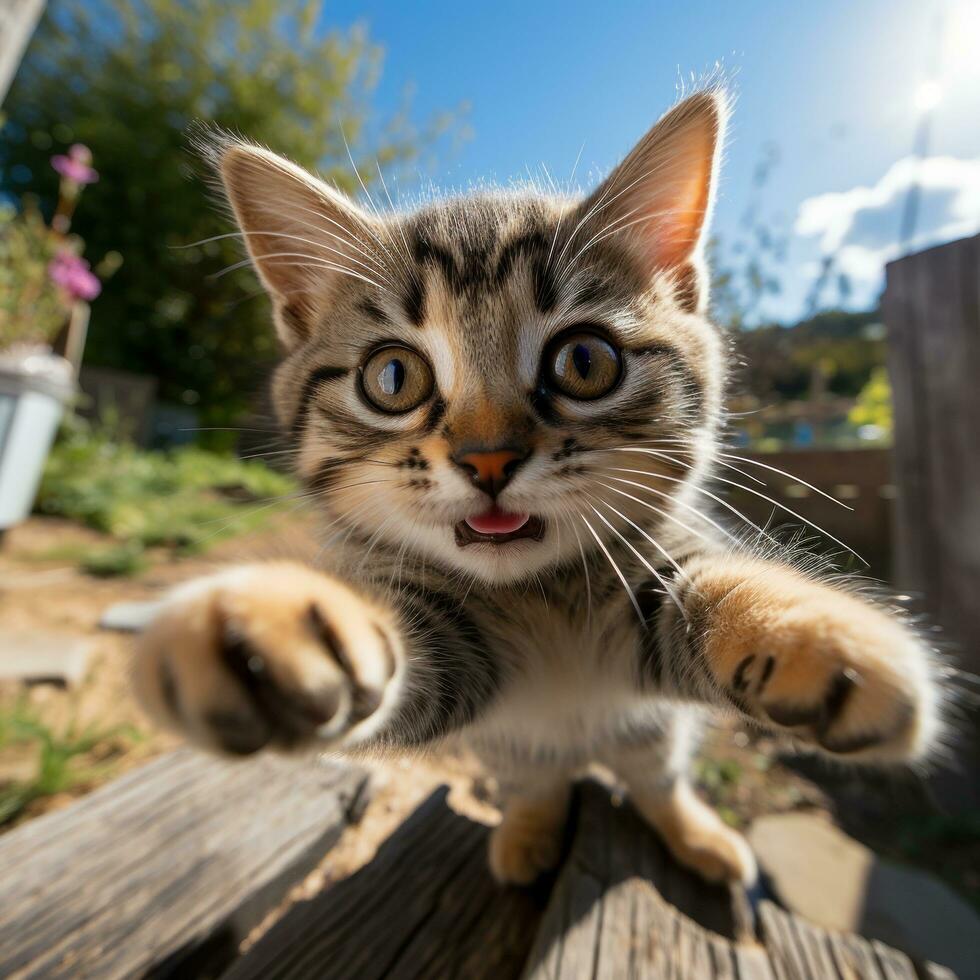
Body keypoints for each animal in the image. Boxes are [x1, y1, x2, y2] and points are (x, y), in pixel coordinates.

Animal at [130, 94, 940, 888]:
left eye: (585, 361)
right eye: (392, 376)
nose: (488, 458)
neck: (540, 596)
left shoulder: (655, 574)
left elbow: (709, 589)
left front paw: (813, 634)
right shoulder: (455, 644)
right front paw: (274, 625)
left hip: (653, 728)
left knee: (655, 776)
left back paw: (694, 833)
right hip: (510, 747)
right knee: (540, 780)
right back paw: (527, 832)